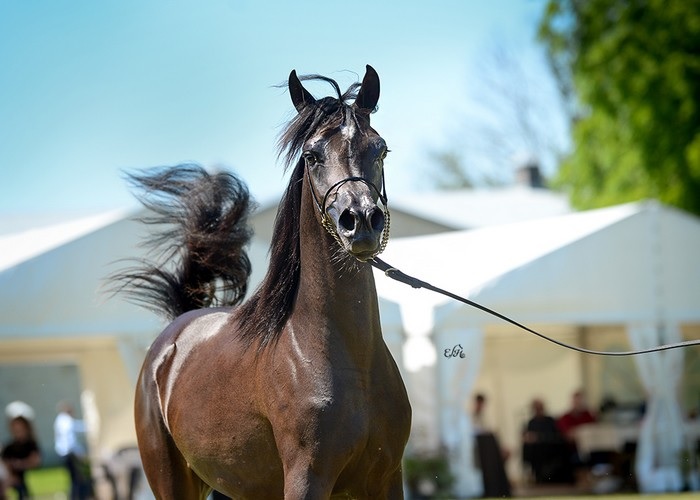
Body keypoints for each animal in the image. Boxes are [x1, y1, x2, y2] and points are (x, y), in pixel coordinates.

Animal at [112, 65, 412, 496]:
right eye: (312, 155)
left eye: (380, 149)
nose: (361, 222)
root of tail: (171, 339)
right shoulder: (306, 481)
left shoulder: (386, 480)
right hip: (171, 482)